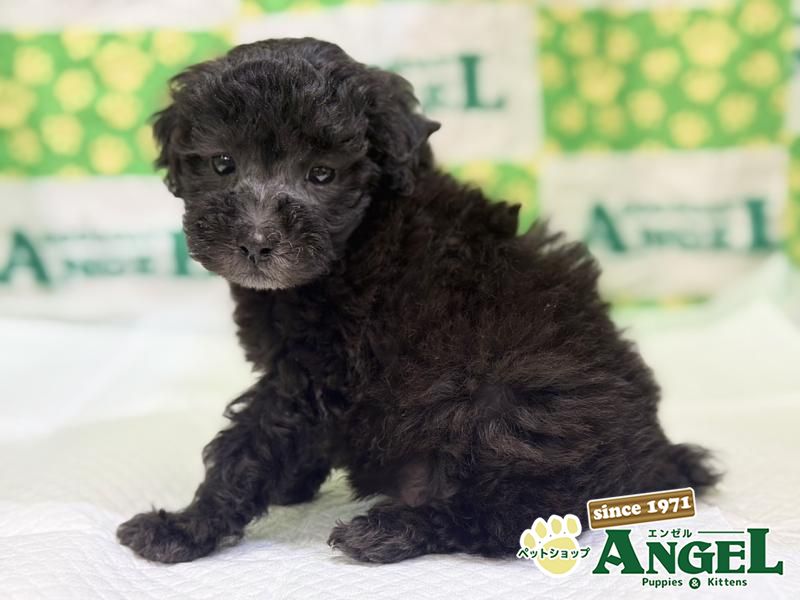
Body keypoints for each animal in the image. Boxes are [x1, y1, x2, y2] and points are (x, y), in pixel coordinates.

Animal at [117, 37, 719, 564]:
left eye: (321, 174)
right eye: (222, 164)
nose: (258, 242)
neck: (355, 239)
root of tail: (651, 459)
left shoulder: (315, 374)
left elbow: (247, 447)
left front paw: (183, 527)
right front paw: (288, 485)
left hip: (504, 403)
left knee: (508, 515)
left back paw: (389, 530)